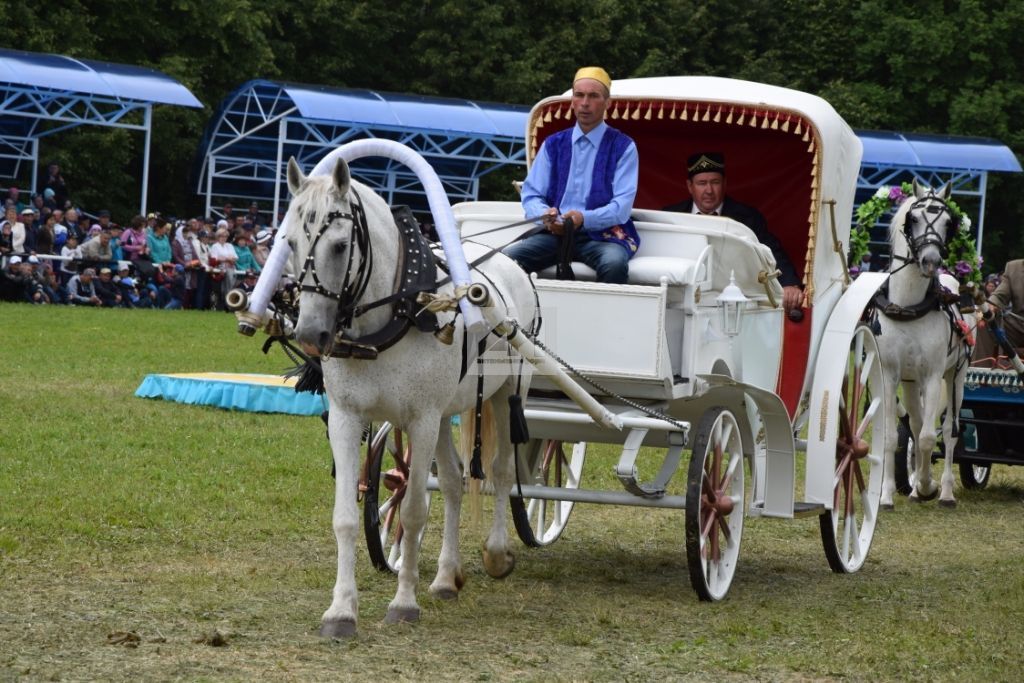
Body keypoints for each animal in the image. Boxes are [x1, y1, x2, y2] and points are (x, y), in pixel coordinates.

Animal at [876, 179, 970, 509]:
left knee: (950, 431)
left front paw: (928, 485)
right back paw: (915, 486)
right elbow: (892, 437)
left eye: (947, 223)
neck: (907, 307)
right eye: (913, 219)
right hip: (909, 380)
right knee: (915, 425)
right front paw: (887, 495)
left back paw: (944, 492)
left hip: (956, 377)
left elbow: (931, 437)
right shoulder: (890, 375)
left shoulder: (932, 376)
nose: (931, 261)